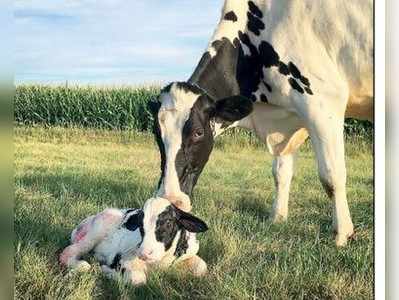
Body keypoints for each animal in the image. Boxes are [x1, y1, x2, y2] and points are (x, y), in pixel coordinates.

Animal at [61, 198, 209, 284]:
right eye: (140, 225)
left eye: (168, 222)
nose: (144, 253)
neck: (161, 262)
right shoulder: (123, 256)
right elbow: (138, 279)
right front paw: (106, 271)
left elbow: (201, 268)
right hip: (99, 227)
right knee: (68, 252)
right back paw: (82, 265)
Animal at [150, 0, 376, 246]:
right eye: (156, 134)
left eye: (199, 133)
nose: (170, 197)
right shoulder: (288, 119)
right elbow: (281, 173)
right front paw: (277, 217)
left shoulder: (324, 103)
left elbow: (331, 175)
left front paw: (342, 233)